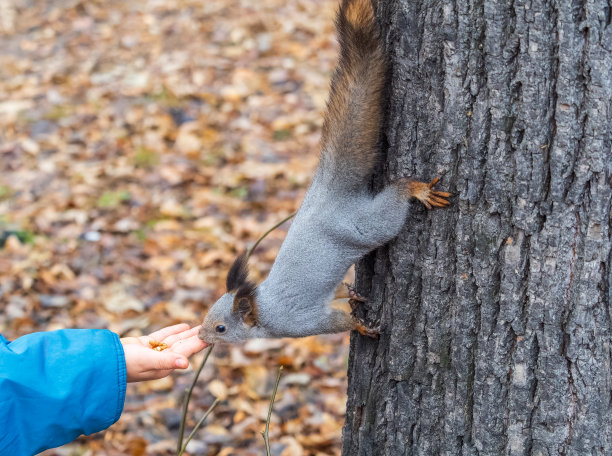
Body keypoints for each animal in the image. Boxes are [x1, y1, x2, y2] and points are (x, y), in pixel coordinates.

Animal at [200, 0, 450, 344]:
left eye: (221, 328)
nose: (200, 336)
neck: (264, 310)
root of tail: (328, 191)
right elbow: (340, 296)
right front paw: (352, 296)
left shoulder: (300, 322)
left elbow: (336, 322)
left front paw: (360, 326)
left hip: (367, 225)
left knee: (392, 206)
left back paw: (414, 189)